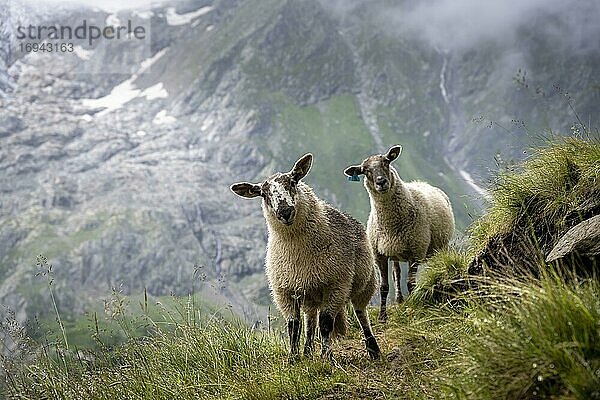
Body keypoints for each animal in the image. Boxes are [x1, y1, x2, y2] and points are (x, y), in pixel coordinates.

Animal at [230, 153, 380, 360]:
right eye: (264, 193)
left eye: (293, 182)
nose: (285, 212)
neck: (297, 252)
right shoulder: (285, 292)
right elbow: (294, 326)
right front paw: (293, 358)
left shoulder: (336, 285)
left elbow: (326, 323)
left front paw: (327, 357)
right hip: (310, 293)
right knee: (310, 321)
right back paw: (307, 351)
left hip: (363, 283)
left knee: (360, 313)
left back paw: (373, 349)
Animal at [342, 145, 454, 324]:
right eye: (365, 171)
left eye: (387, 162)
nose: (381, 182)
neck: (391, 224)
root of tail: (422, 183)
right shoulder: (379, 255)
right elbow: (384, 287)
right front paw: (382, 317)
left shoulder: (416, 251)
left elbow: (410, 284)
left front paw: (414, 309)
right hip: (395, 251)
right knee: (396, 273)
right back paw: (399, 300)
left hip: (440, 246)